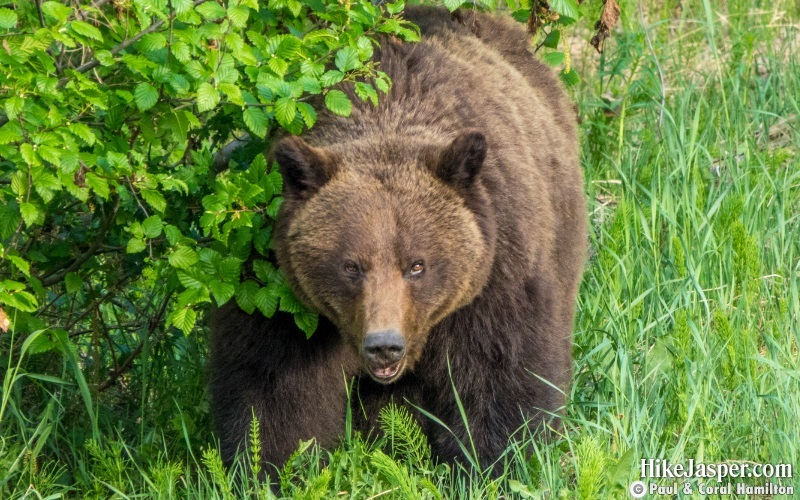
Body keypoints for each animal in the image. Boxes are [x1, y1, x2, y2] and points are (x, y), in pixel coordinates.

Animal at [211, 5, 588, 474]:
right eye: (351, 266)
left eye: (417, 264)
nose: (384, 347)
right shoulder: (279, 292)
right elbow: (272, 385)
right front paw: (268, 466)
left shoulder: (498, 268)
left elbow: (500, 372)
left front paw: (488, 462)